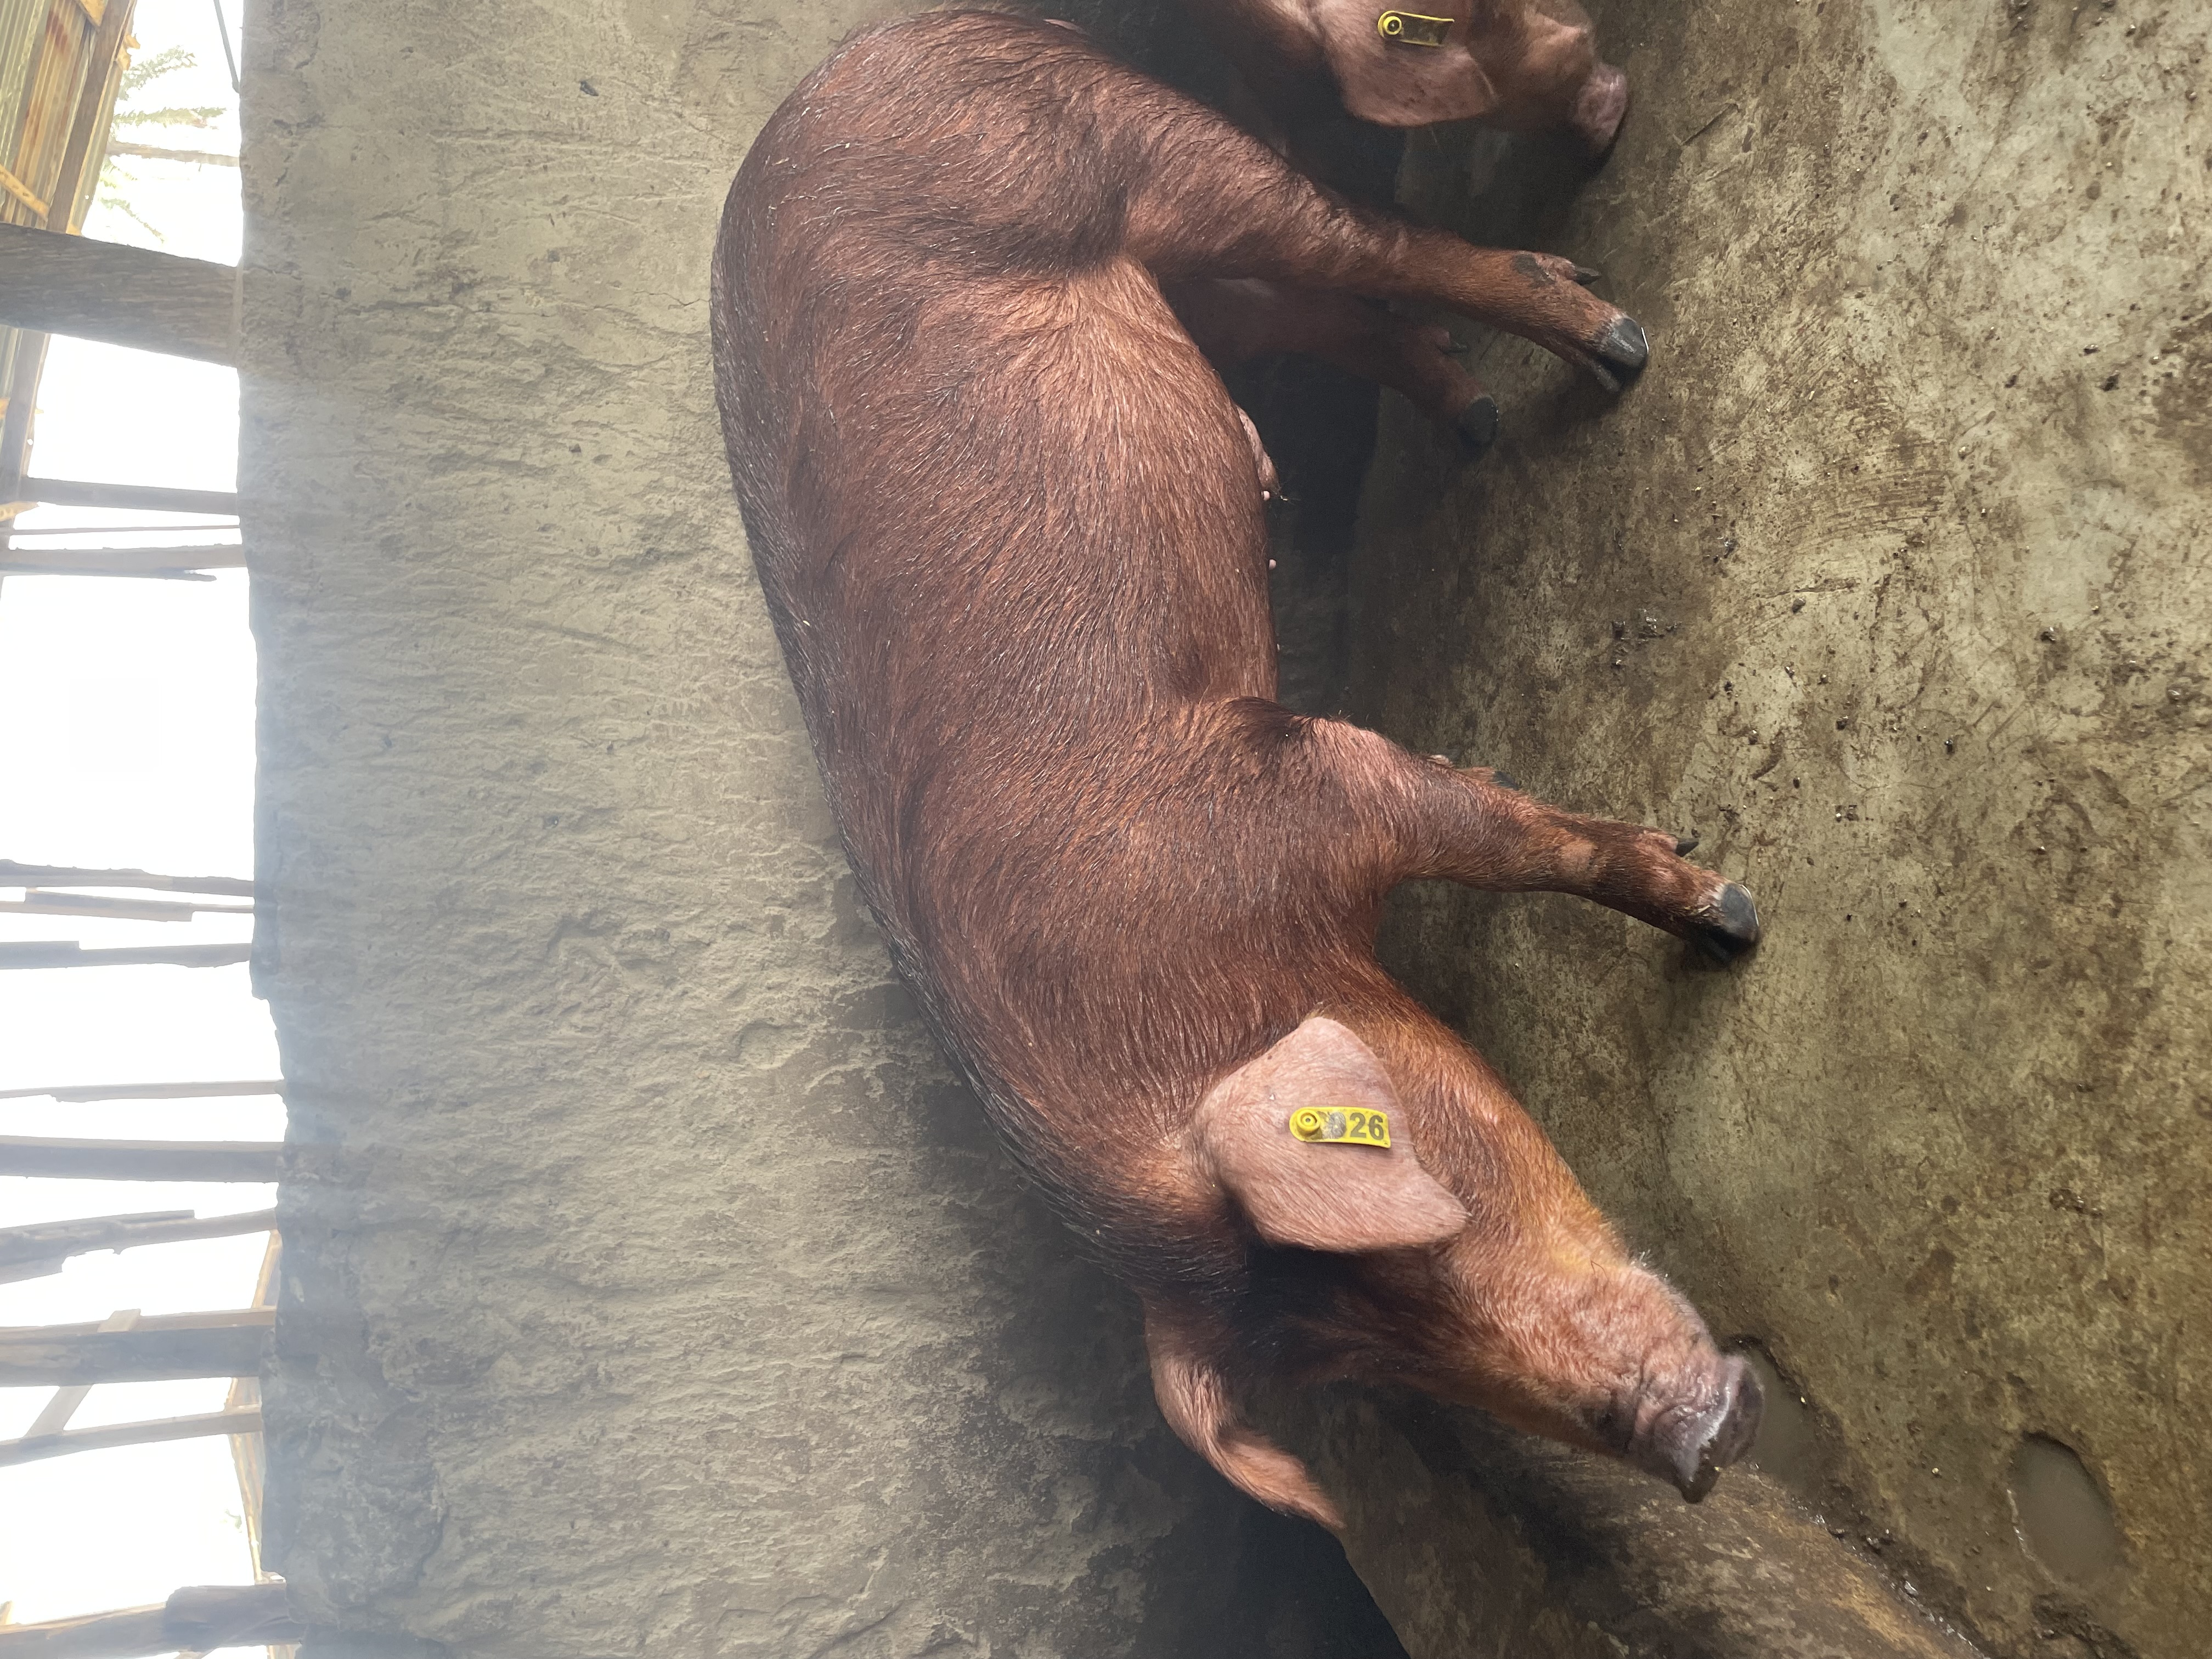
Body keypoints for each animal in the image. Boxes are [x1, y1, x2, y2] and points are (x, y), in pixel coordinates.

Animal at [710, 9, 1761, 1527]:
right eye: (1384, 1356)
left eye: (1415, 1237)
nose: (1702, 1440)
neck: (1206, 971)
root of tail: (875, 50)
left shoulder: (1309, 781)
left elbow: (1515, 836)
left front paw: (1733, 916)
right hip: (1178, 270)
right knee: (1312, 304)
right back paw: (1475, 416)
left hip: (1116, 149)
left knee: (1362, 238)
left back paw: (1606, 342)